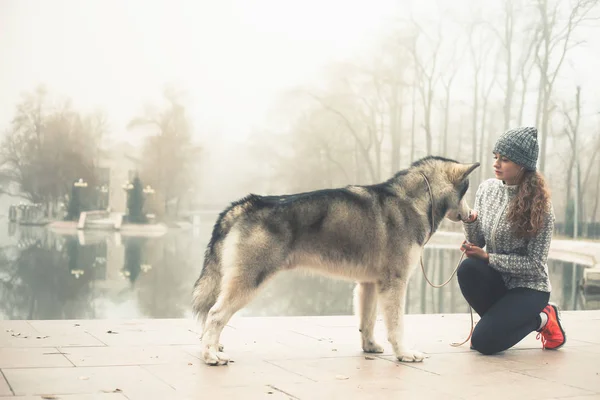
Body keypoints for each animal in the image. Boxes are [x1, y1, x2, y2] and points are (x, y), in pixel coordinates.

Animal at [192, 156, 478, 366]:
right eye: (466, 192)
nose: (473, 214)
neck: (413, 200)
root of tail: (246, 204)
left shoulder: (368, 284)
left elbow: (367, 322)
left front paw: (370, 347)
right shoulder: (395, 283)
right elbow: (396, 326)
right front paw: (405, 353)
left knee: (212, 317)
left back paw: (213, 346)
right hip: (249, 282)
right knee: (215, 315)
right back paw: (210, 355)